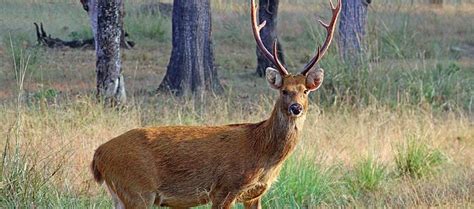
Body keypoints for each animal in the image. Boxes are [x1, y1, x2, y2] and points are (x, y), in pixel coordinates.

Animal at [90, 0, 340, 208]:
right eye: (284, 91)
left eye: (305, 91)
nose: (296, 108)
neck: (262, 153)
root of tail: (98, 154)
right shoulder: (224, 187)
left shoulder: (255, 194)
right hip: (138, 189)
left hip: (122, 195)